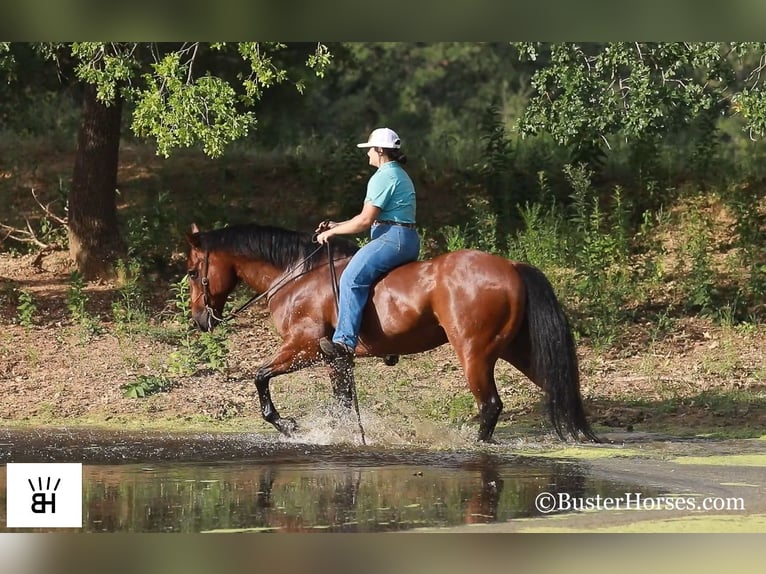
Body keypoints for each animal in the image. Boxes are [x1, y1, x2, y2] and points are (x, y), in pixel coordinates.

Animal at [186, 223, 600, 444]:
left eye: (192, 272)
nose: (200, 321)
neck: (297, 277)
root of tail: (511, 267)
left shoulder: (303, 347)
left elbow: (259, 377)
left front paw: (287, 424)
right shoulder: (336, 360)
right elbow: (342, 402)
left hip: (474, 353)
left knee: (491, 405)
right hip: (518, 350)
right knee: (557, 386)